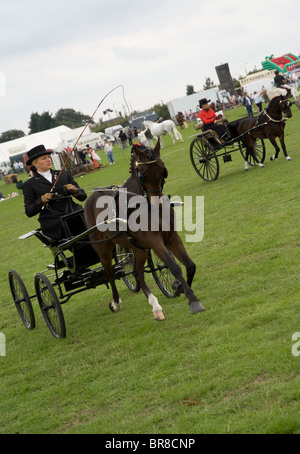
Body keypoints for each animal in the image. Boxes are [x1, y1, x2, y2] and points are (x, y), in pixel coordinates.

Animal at [84, 141, 206, 320]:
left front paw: (179, 286)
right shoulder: (154, 241)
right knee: (110, 273)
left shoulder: (171, 237)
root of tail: (91, 197)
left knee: (137, 273)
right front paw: (193, 301)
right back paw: (116, 302)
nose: (156, 204)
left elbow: (190, 265)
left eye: (163, 171)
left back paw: (156, 308)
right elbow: (173, 266)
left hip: (139, 248)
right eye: (142, 175)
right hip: (103, 247)